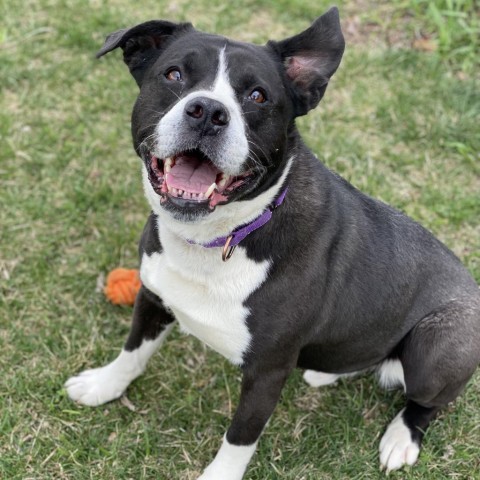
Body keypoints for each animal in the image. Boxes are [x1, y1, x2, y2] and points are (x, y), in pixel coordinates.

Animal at [66, 8, 480, 480]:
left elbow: (240, 437)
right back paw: (328, 373)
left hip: (438, 344)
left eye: (258, 96)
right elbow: (133, 351)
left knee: (427, 400)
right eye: (173, 74)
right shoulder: (153, 297)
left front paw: (219, 476)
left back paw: (401, 438)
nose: (207, 111)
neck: (219, 238)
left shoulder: (267, 371)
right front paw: (103, 385)